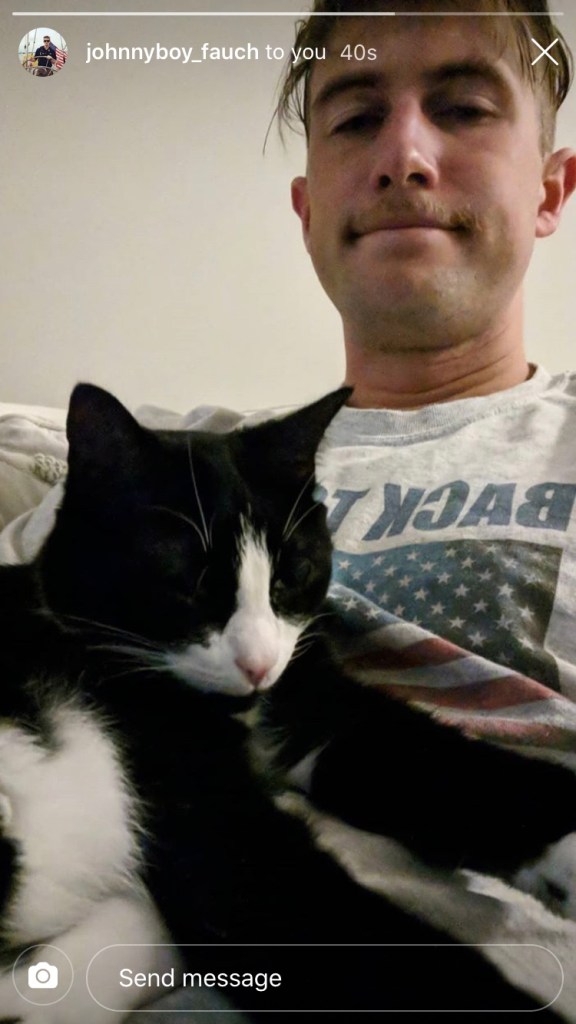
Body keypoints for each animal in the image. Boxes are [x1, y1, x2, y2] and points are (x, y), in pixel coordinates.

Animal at [0, 383, 572, 1023]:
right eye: (187, 583)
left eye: (292, 573)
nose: (258, 664)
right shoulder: (190, 790)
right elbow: (307, 911)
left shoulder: (320, 701)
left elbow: (446, 764)